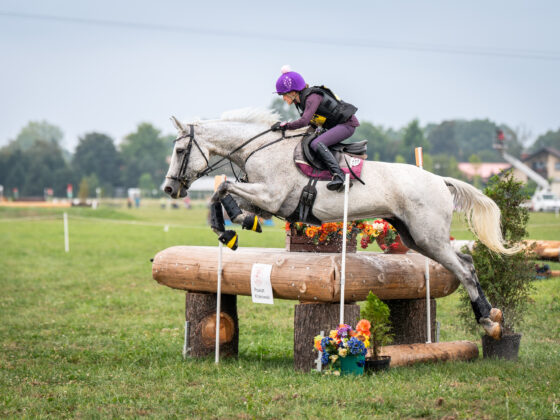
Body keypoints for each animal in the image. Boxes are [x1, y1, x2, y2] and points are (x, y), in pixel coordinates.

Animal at [162, 107, 520, 338]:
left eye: (179, 151)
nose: (169, 189)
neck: (259, 149)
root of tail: (440, 180)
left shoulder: (272, 196)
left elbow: (223, 188)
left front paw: (234, 225)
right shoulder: (264, 200)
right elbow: (222, 194)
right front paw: (231, 230)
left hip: (428, 236)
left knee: (465, 269)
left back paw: (489, 322)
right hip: (416, 237)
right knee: (465, 262)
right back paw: (489, 316)